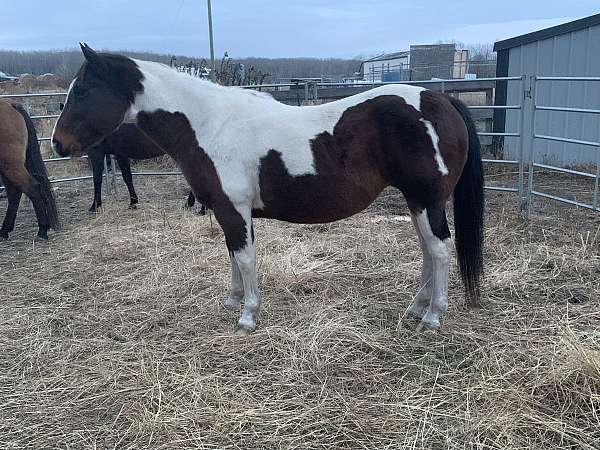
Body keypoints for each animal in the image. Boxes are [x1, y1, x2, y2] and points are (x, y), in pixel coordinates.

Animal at [0, 98, 59, 239]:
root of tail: (10, 104)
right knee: (14, 193)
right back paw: (4, 231)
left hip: (11, 165)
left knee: (32, 189)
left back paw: (42, 231)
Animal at [51, 44, 482, 334]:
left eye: (83, 90)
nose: (57, 144)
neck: (209, 124)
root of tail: (441, 99)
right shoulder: (229, 212)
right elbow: (232, 256)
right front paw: (233, 301)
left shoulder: (234, 209)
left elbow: (245, 259)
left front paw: (247, 316)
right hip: (417, 202)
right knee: (428, 251)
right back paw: (416, 308)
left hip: (427, 201)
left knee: (440, 251)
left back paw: (432, 317)